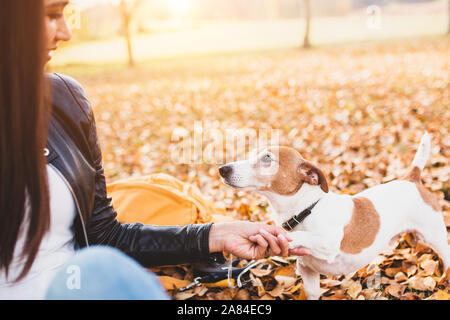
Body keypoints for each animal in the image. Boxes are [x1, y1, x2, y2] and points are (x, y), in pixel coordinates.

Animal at [218, 132, 446, 300]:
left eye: (267, 158)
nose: (222, 168)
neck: (306, 209)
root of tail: (411, 179)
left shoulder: (328, 244)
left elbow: (299, 236)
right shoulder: (308, 272)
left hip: (435, 236)